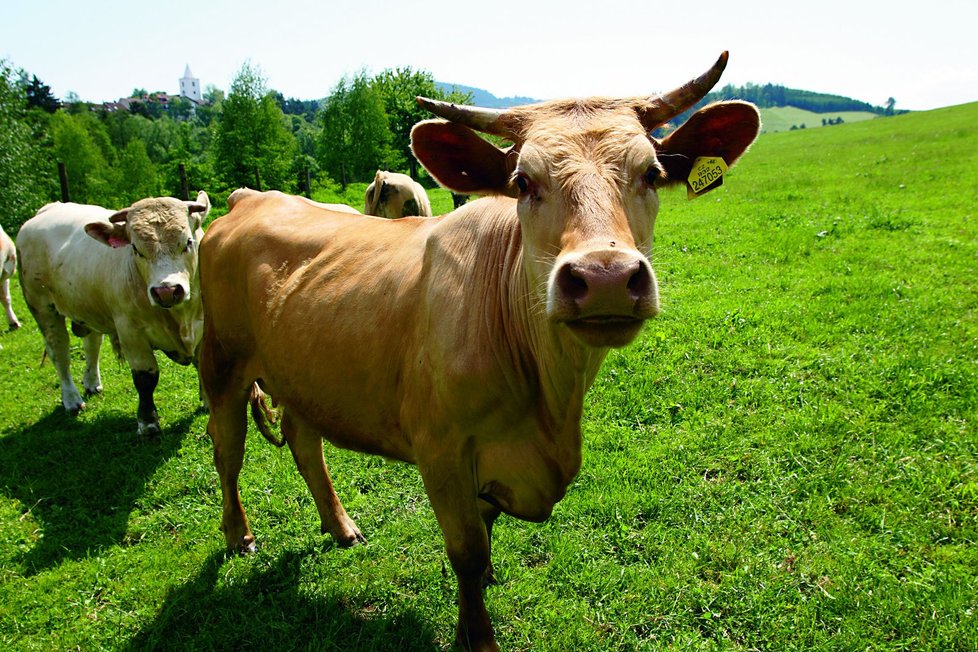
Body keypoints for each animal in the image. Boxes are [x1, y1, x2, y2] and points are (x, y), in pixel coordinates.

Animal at [16, 194, 210, 438]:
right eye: (136, 249)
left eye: (187, 242)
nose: (166, 290)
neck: (181, 318)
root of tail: (46, 210)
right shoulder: (130, 332)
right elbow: (145, 378)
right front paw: (148, 423)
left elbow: (203, 363)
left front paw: (208, 402)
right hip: (43, 307)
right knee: (59, 353)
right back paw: (71, 398)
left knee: (92, 344)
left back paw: (91, 382)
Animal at [200, 53, 764, 648]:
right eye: (522, 181)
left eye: (652, 173)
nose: (605, 277)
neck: (549, 404)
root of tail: (250, 197)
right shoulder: (441, 450)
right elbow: (466, 551)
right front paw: (479, 631)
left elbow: (485, 533)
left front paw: (482, 593)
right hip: (222, 363)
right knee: (227, 449)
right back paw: (239, 534)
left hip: (300, 370)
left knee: (305, 441)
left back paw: (341, 526)